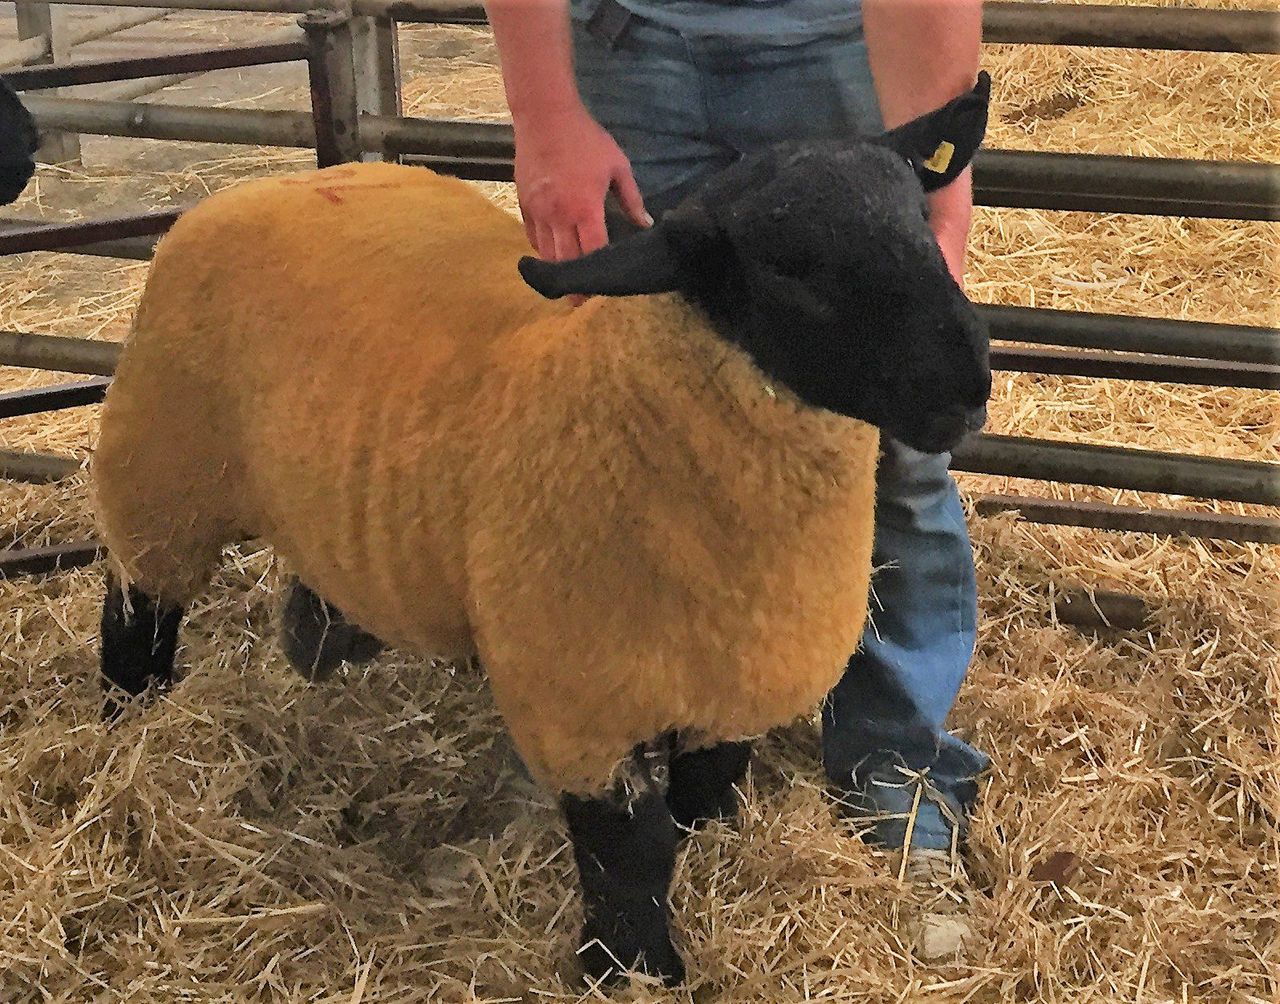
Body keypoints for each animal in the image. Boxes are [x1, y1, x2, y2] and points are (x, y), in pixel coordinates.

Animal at [94, 73, 992, 987]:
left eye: (921, 218)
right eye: (789, 267)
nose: (971, 379)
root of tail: (279, 182)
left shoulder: (733, 688)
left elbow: (704, 801)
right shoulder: (578, 706)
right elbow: (630, 851)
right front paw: (629, 968)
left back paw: (322, 640)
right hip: (160, 469)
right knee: (137, 604)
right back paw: (131, 720)